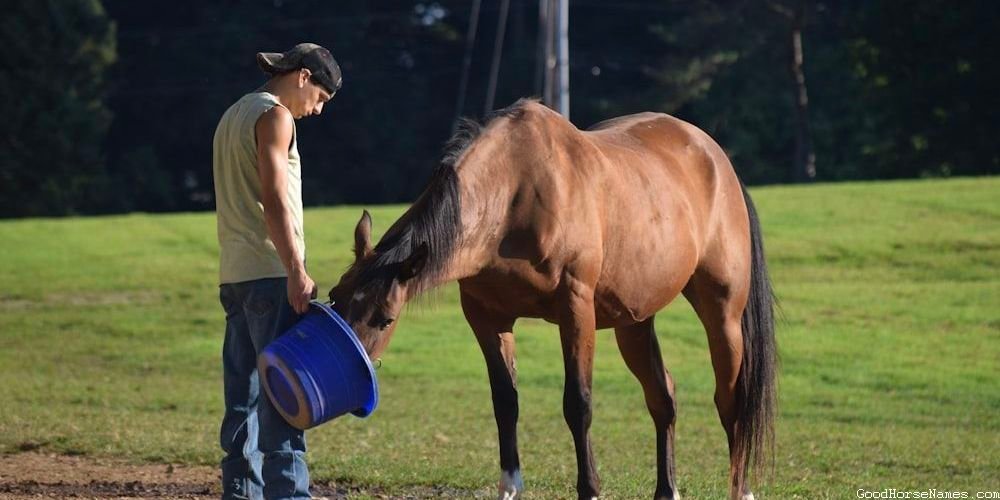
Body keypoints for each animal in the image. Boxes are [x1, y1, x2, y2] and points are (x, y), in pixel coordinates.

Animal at [328, 98, 780, 500]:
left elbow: (577, 404)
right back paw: (666, 489)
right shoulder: (486, 316)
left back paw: (741, 489)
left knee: (730, 401)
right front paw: (510, 487)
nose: (351, 370)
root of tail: (716, 158)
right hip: (634, 323)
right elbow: (505, 401)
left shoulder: (575, 308)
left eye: (385, 318)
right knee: (663, 397)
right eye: (335, 299)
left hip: (722, 314)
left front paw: (590, 489)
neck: (516, 193)